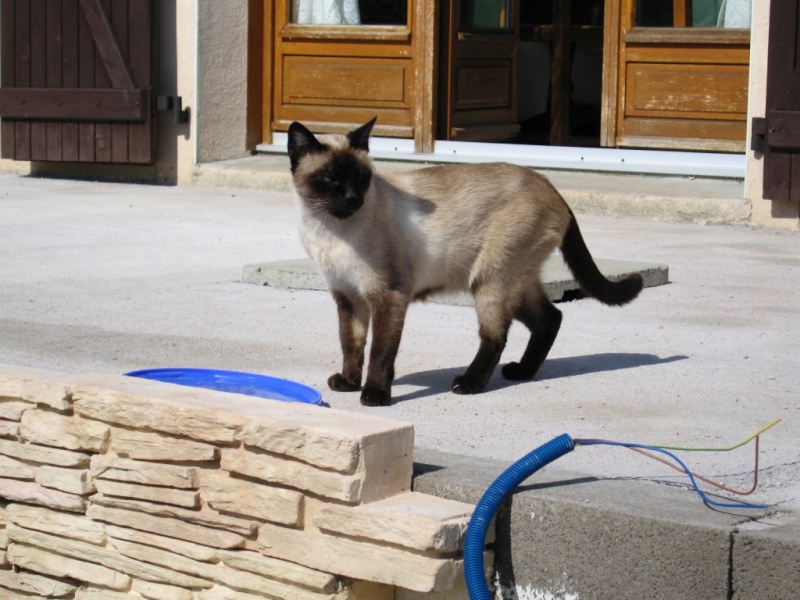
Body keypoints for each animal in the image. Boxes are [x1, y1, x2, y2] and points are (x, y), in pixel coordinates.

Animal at [290, 117, 644, 408]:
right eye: (330, 179)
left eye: (361, 178)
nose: (352, 199)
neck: (329, 229)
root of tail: (551, 187)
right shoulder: (348, 296)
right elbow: (351, 345)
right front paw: (349, 383)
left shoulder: (388, 295)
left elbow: (380, 352)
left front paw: (374, 395)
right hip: (517, 281)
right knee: (551, 318)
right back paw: (522, 372)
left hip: (489, 280)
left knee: (496, 336)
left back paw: (469, 383)